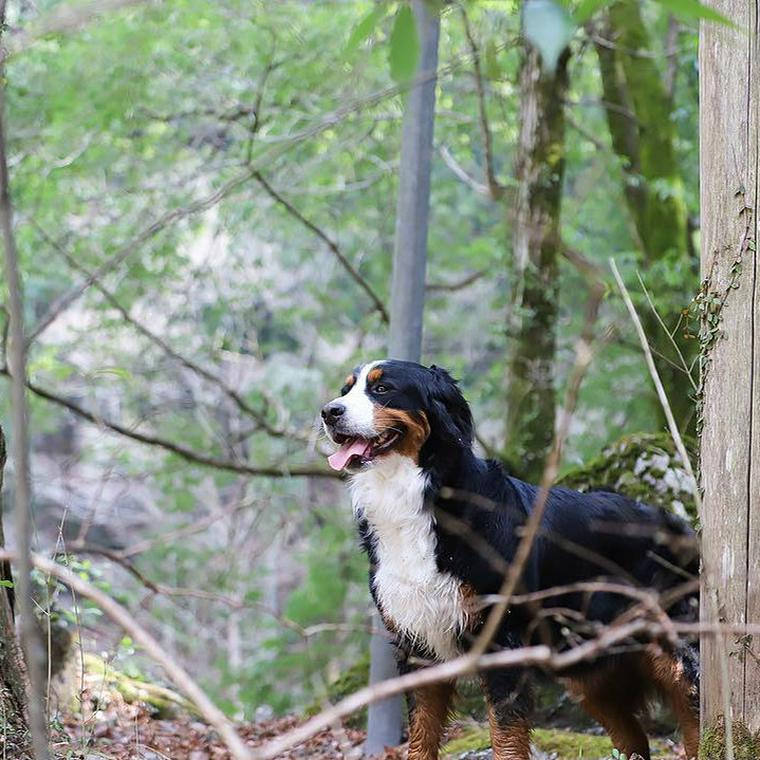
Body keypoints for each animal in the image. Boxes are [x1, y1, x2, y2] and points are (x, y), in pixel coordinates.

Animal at [320, 360, 700, 756]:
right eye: (346, 390)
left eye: (382, 389)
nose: (329, 412)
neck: (417, 497)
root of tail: (678, 526)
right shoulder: (418, 643)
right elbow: (421, 736)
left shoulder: (502, 639)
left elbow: (505, 733)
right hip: (586, 668)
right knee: (633, 737)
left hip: (674, 646)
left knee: (694, 714)